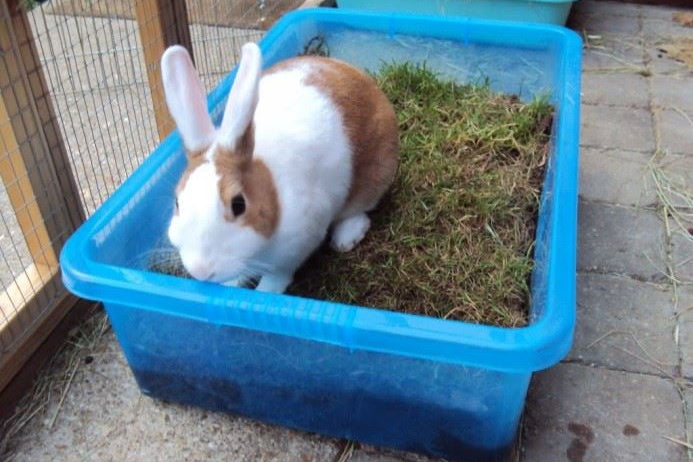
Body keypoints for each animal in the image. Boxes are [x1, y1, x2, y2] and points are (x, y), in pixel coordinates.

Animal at [162, 41, 398, 290]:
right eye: (177, 203)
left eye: (239, 205)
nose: (201, 270)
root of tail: (357, 74)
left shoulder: (296, 248)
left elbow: (277, 277)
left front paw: (266, 290)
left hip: (376, 175)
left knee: (359, 209)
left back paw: (346, 238)